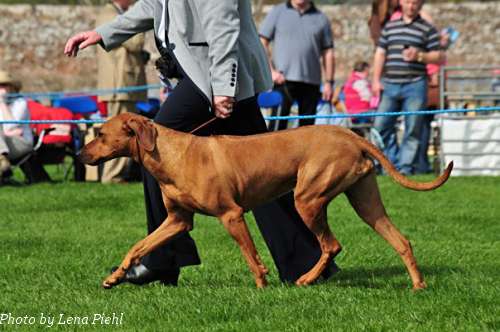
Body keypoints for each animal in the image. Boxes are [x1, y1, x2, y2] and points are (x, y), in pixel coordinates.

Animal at [79, 113, 454, 290]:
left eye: (101, 134)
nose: (81, 154)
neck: (172, 155)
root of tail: (348, 133)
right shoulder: (176, 221)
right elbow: (138, 247)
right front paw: (115, 278)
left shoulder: (231, 215)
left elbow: (252, 257)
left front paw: (261, 287)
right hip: (365, 201)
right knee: (400, 240)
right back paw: (418, 285)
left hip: (308, 198)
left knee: (331, 245)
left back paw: (306, 279)